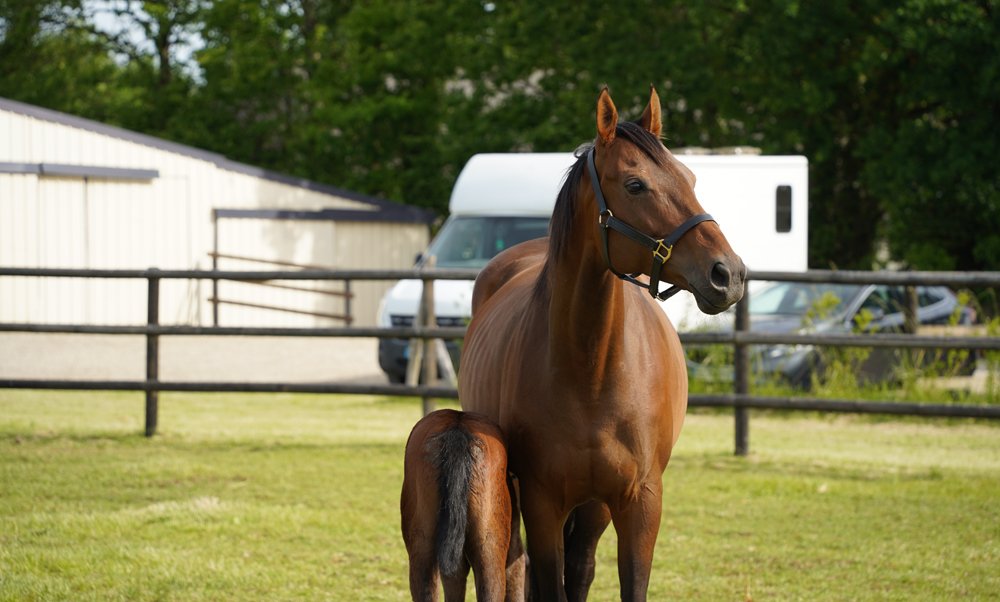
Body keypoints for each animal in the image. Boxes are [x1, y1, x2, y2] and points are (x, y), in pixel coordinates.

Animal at [458, 86, 746, 601]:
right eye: (635, 185)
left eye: (690, 177)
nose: (727, 274)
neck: (590, 370)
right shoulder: (541, 500)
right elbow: (545, 580)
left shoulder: (640, 501)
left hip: (595, 508)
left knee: (582, 567)